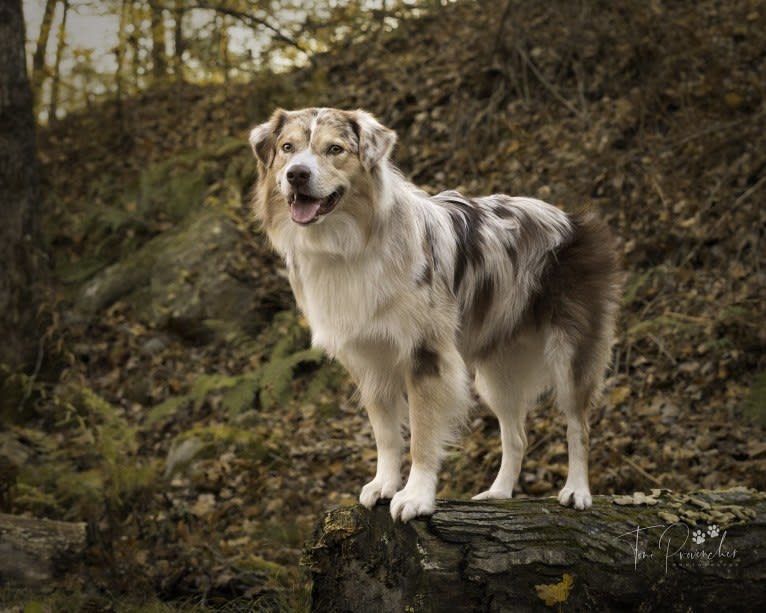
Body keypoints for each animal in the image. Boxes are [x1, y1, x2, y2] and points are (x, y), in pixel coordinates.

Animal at [252, 107, 624, 520]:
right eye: (288, 148)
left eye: (335, 149)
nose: (296, 174)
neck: (347, 245)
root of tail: (572, 219)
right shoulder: (370, 361)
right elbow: (386, 434)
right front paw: (383, 484)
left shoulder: (426, 354)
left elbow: (422, 433)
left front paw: (415, 496)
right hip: (497, 372)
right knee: (517, 435)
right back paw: (499, 493)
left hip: (571, 352)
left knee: (578, 425)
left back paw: (577, 490)